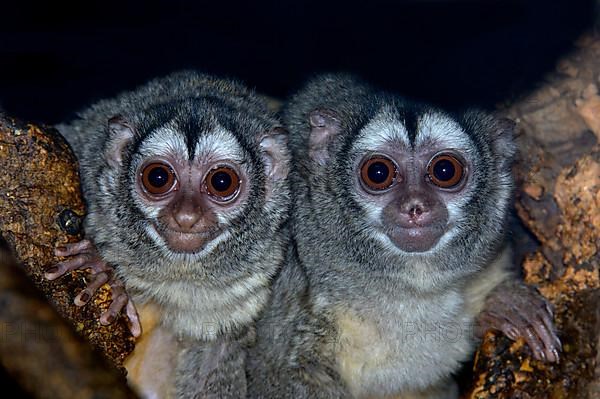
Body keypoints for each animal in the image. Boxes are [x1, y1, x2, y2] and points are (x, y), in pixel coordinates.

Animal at [47, 72, 290, 399]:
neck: (176, 270)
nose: (186, 216)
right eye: (158, 177)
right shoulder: (82, 146)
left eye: (221, 182)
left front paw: (102, 273)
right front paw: (101, 271)